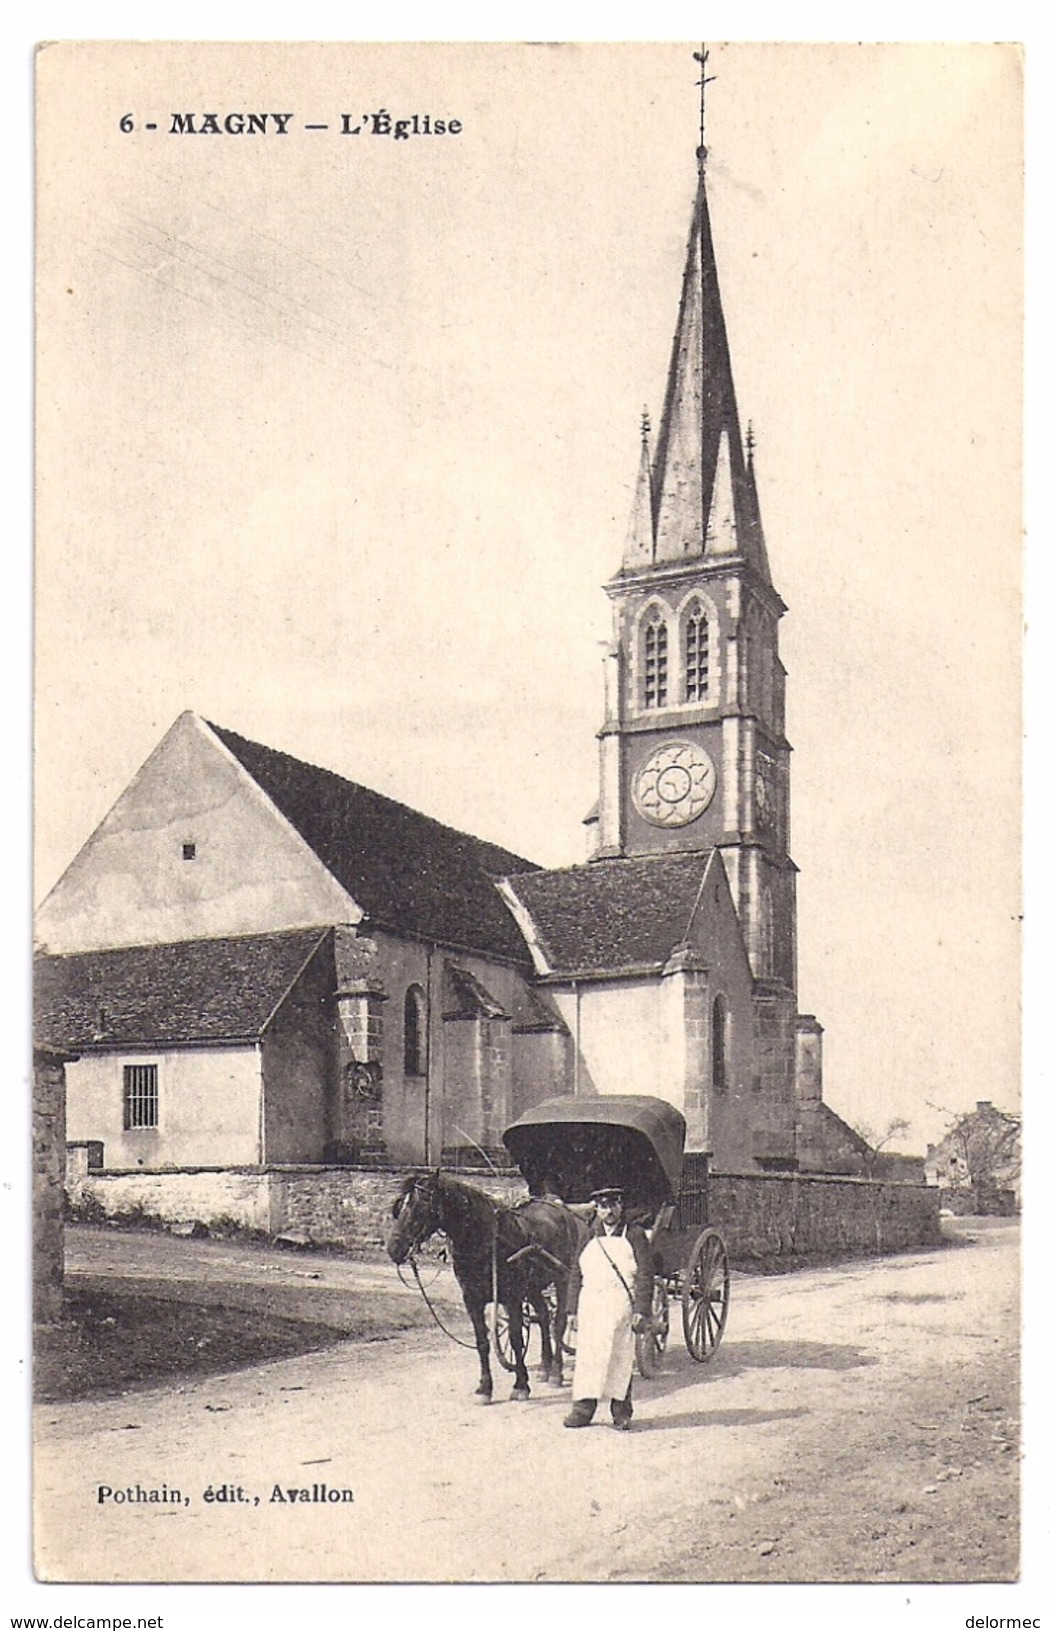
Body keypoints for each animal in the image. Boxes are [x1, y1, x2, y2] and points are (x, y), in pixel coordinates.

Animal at [384, 1174, 583, 1402]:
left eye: (421, 1206)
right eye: (400, 1206)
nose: (393, 1248)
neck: (486, 1240)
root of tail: (561, 1209)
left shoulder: (512, 1298)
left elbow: (516, 1339)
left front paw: (521, 1385)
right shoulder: (472, 1300)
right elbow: (482, 1342)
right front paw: (485, 1388)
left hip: (562, 1279)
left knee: (558, 1324)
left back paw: (556, 1372)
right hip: (532, 1288)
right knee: (543, 1315)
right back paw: (545, 1367)